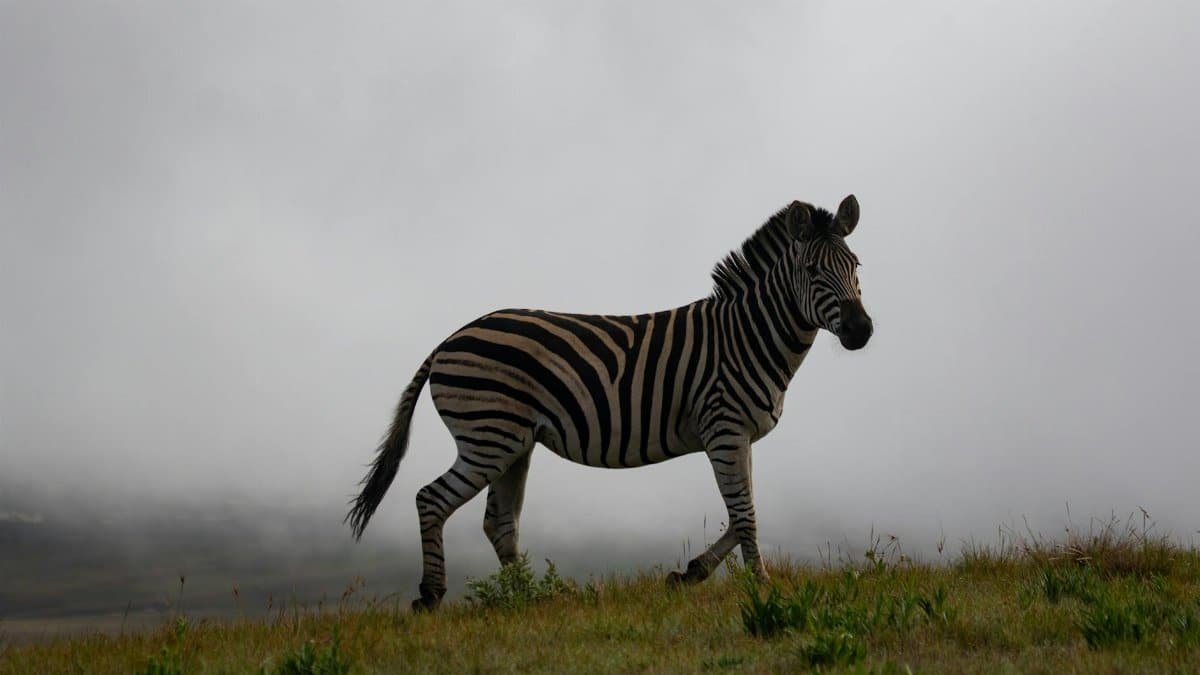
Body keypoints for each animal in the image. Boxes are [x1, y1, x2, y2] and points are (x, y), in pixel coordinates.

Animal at [346, 195, 873, 611]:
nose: (861, 330)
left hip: (513, 443)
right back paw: (432, 595)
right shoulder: (724, 429)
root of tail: (448, 338)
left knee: (498, 522)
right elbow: (745, 513)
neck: (746, 336)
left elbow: (744, 510)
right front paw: (762, 586)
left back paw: (535, 598)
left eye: (856, 267)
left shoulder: (738, 436)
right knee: (430, 499)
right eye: (812, 271)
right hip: (488, 438)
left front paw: (692, 572)